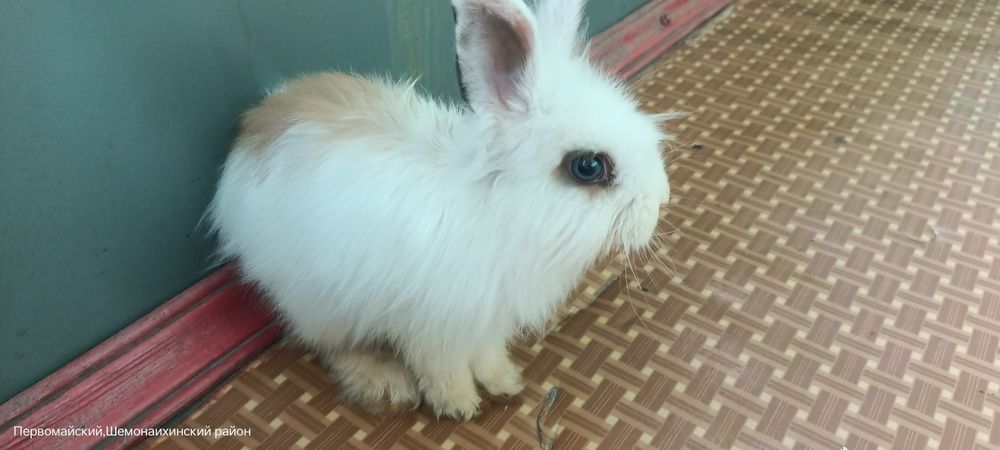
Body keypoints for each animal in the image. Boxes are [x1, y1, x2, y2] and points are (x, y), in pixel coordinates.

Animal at [207, 0, 672, 421]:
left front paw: (504, 382)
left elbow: (486, 355)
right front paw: (459, 405)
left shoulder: (487, 321)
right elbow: (443, 369)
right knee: (333, 345)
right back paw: (384, 383)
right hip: (316, 301)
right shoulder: (434, 328)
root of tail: (253, 126)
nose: (660, 202)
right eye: (588, 167)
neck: (499, 211)